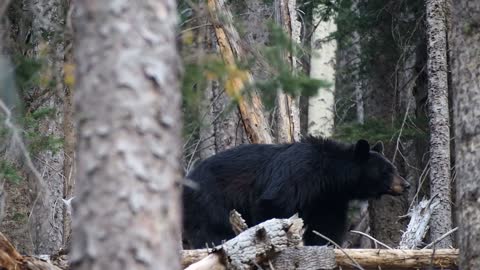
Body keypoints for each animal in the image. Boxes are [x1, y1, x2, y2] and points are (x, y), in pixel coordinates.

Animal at [183, 136, 408, 248]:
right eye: (387, 170)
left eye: (393, 168)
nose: (406, 184)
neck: (329, 175)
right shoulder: (298, 174)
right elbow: (273, 205)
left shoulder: (328, 198)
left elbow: (326, 224)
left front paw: (325, 244)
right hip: (209, 198)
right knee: (211, 228)